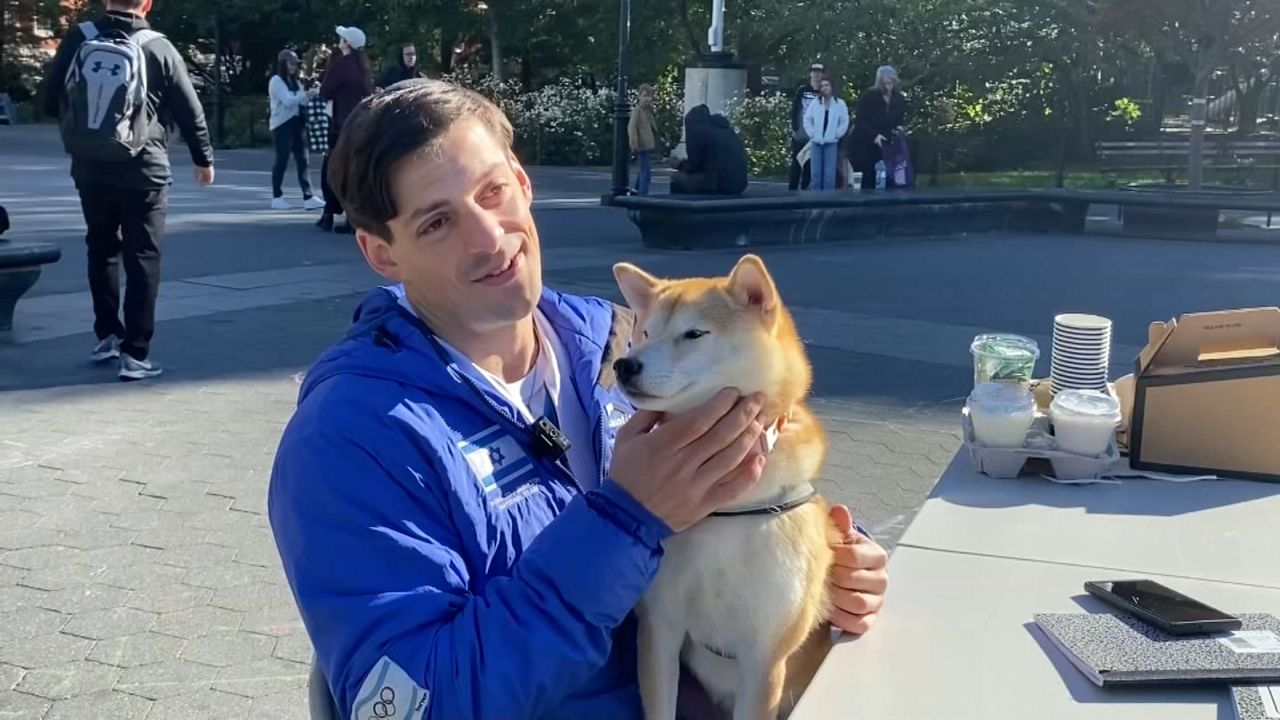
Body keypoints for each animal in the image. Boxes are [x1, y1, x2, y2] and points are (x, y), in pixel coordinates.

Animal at [611, 253, 839, 717]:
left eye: (694, 333)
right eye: (645, 332)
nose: (625, 364)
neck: (727, 510)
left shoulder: (765, 657)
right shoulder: (660, 627)